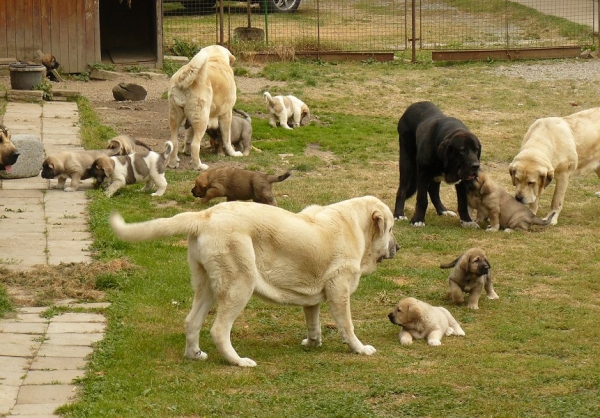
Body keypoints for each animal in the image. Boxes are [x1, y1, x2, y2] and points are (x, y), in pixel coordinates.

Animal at [110, 195, 398, 366]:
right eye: (391, 228)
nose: (399, 247)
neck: (356, 226)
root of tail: (204, 216)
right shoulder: (340, 291)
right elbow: (347, 326)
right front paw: (360, 349)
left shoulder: (313, 297)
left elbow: (313, 323)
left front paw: (312, 343)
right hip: (239, 284)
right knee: (218, 329)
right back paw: (238, 362)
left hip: (208, 286)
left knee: (191, 321)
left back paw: (195, 355)